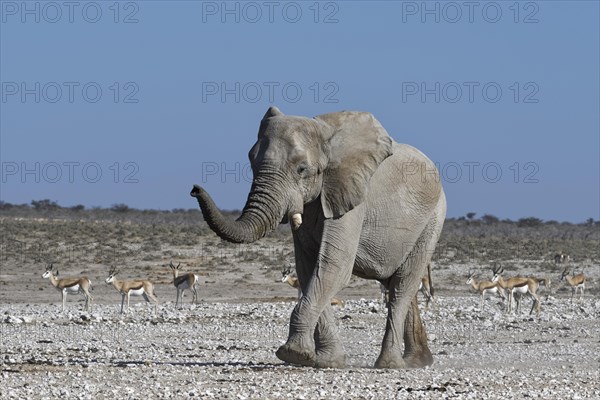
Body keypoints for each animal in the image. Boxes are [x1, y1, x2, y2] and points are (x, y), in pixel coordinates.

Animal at [191, 106, 446, 368]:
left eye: (302, 169)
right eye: (252, 164)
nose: (194, 189)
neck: (327, 134)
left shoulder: (352, 196)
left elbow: (333, 268)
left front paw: (293, 355)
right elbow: (308, 269)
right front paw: (327, 361)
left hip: (434, 218)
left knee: (402, 286)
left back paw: (390, 365)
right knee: (397, 283)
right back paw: (418, 361)